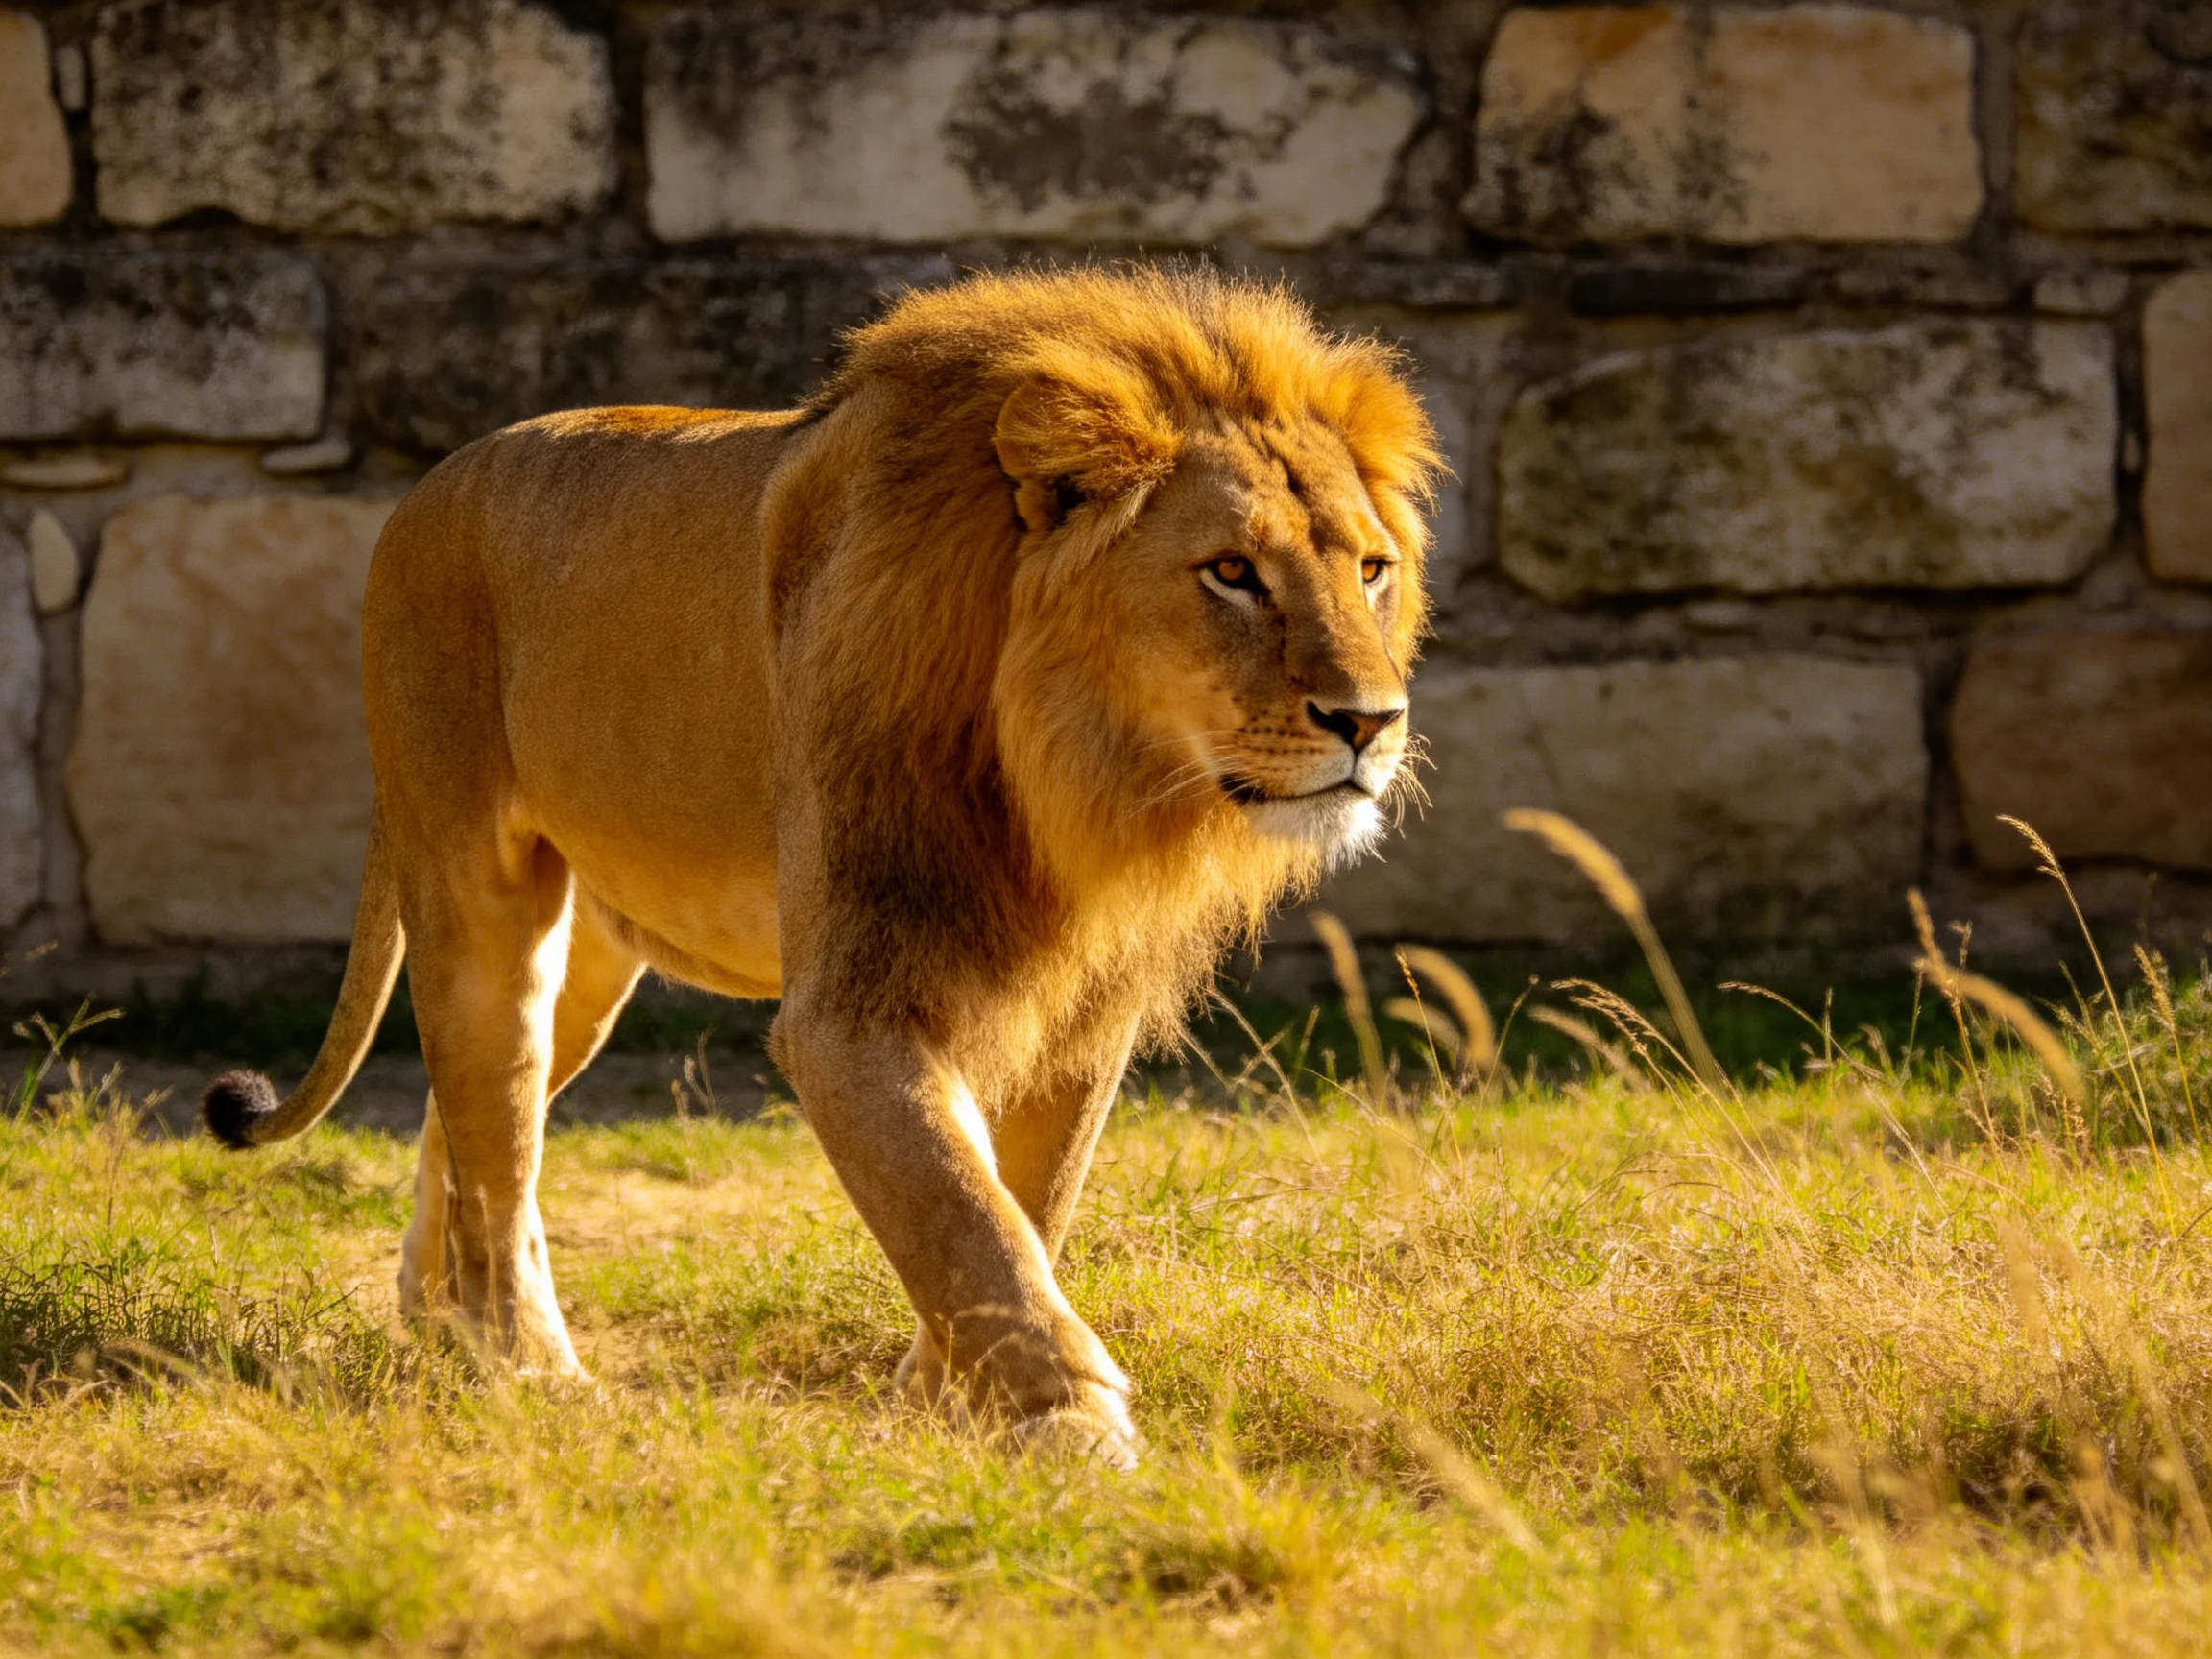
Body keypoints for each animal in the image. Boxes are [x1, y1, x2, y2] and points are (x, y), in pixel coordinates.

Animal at [200, 265, 1440, 1463]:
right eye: (1231, 571)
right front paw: (1068, 1419)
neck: (1080, 780)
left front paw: (944, 1402)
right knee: (493, 1136)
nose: (1372, 722)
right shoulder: (855, 1002)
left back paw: (437, 1322)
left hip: (589, 966)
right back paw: (529, 1369)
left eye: (1373, 570)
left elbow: (1028, 1203)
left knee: (462, 1124)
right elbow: (958, 1207)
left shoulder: (1085, 1009)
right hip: (477, 893)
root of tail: (427, 485)